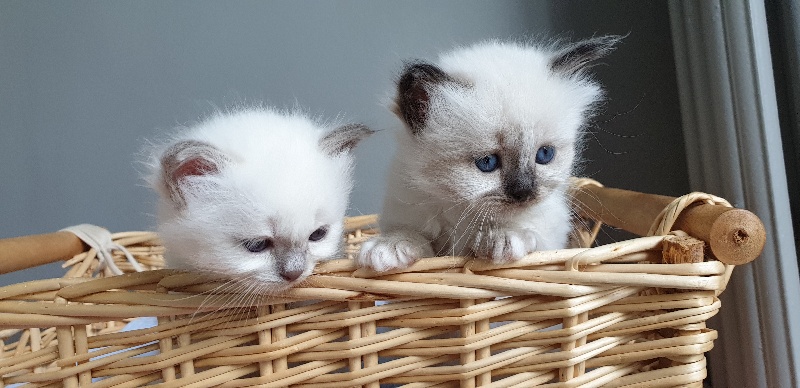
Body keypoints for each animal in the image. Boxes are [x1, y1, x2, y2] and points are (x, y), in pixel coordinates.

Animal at [358, 38, 620, 272]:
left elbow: (529, 233)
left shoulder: (552, 237)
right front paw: (388, 247)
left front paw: (502, 238)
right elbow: (410, 235)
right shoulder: (408, 216)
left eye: (544, 154)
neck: (462, 212)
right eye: (487, 162)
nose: (524, 192)